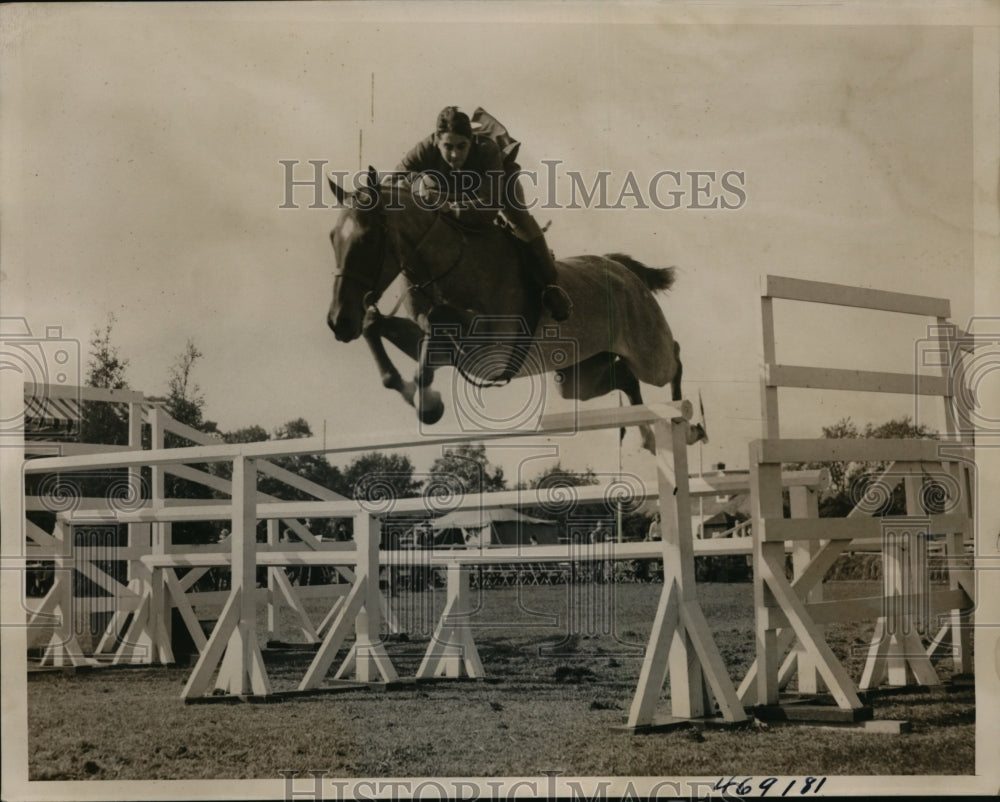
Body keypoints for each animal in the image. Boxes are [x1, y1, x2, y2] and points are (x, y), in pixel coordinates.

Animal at [328, 166, 704, 450]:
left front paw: (428, 403)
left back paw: (687, 426)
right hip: (576, 378)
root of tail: (623, 269)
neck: (445, 264)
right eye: (333, 237)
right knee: (624, 377)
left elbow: (435, 322)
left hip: (648, 353)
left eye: (368, 239)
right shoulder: (451, 349)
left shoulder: (492, 344)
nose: (338, 321)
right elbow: (377, 327)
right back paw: (647, 435)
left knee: (672, 357)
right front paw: (422, 400)